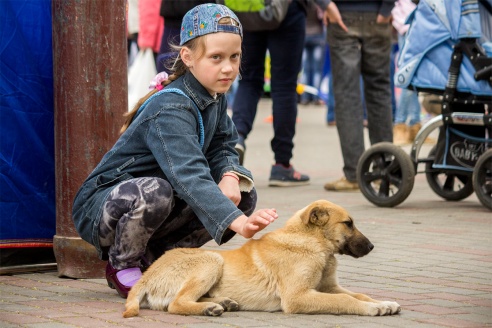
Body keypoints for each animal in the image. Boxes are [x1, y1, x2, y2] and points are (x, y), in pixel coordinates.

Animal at [122, 200, 400, 318]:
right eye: (348, 223)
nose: (372, 246)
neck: (312, 243)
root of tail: (147, 275)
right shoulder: (297, 297)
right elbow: (345, 300)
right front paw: (373, 308)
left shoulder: (328, 287)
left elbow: (358, 294)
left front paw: (383, 302)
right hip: (211, 261)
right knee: (176, 304)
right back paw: (210, 308)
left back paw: (221, 302)